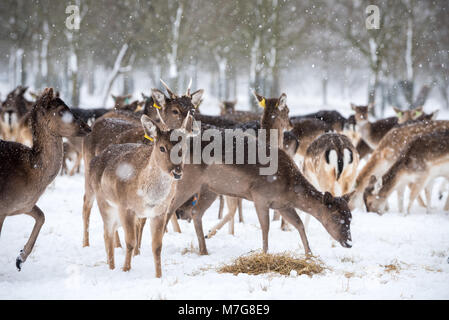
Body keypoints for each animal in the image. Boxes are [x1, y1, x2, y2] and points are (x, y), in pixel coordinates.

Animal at [0, 89, 90, 272]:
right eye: (62, 110)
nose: (88, 127)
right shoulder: (2, 207)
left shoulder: (22, 204)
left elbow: (42, 216)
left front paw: (20, 258)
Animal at [86, 112, 194, 276]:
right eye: (162, 148)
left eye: (183, 148)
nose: (177, 172)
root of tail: (96, 159)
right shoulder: (126, 207)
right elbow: (131, 242)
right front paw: (125, 269)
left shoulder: (160, 212)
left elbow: (157, 246)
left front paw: (158, 275)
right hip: (103, 201)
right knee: (106, 233)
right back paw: (111, 267)